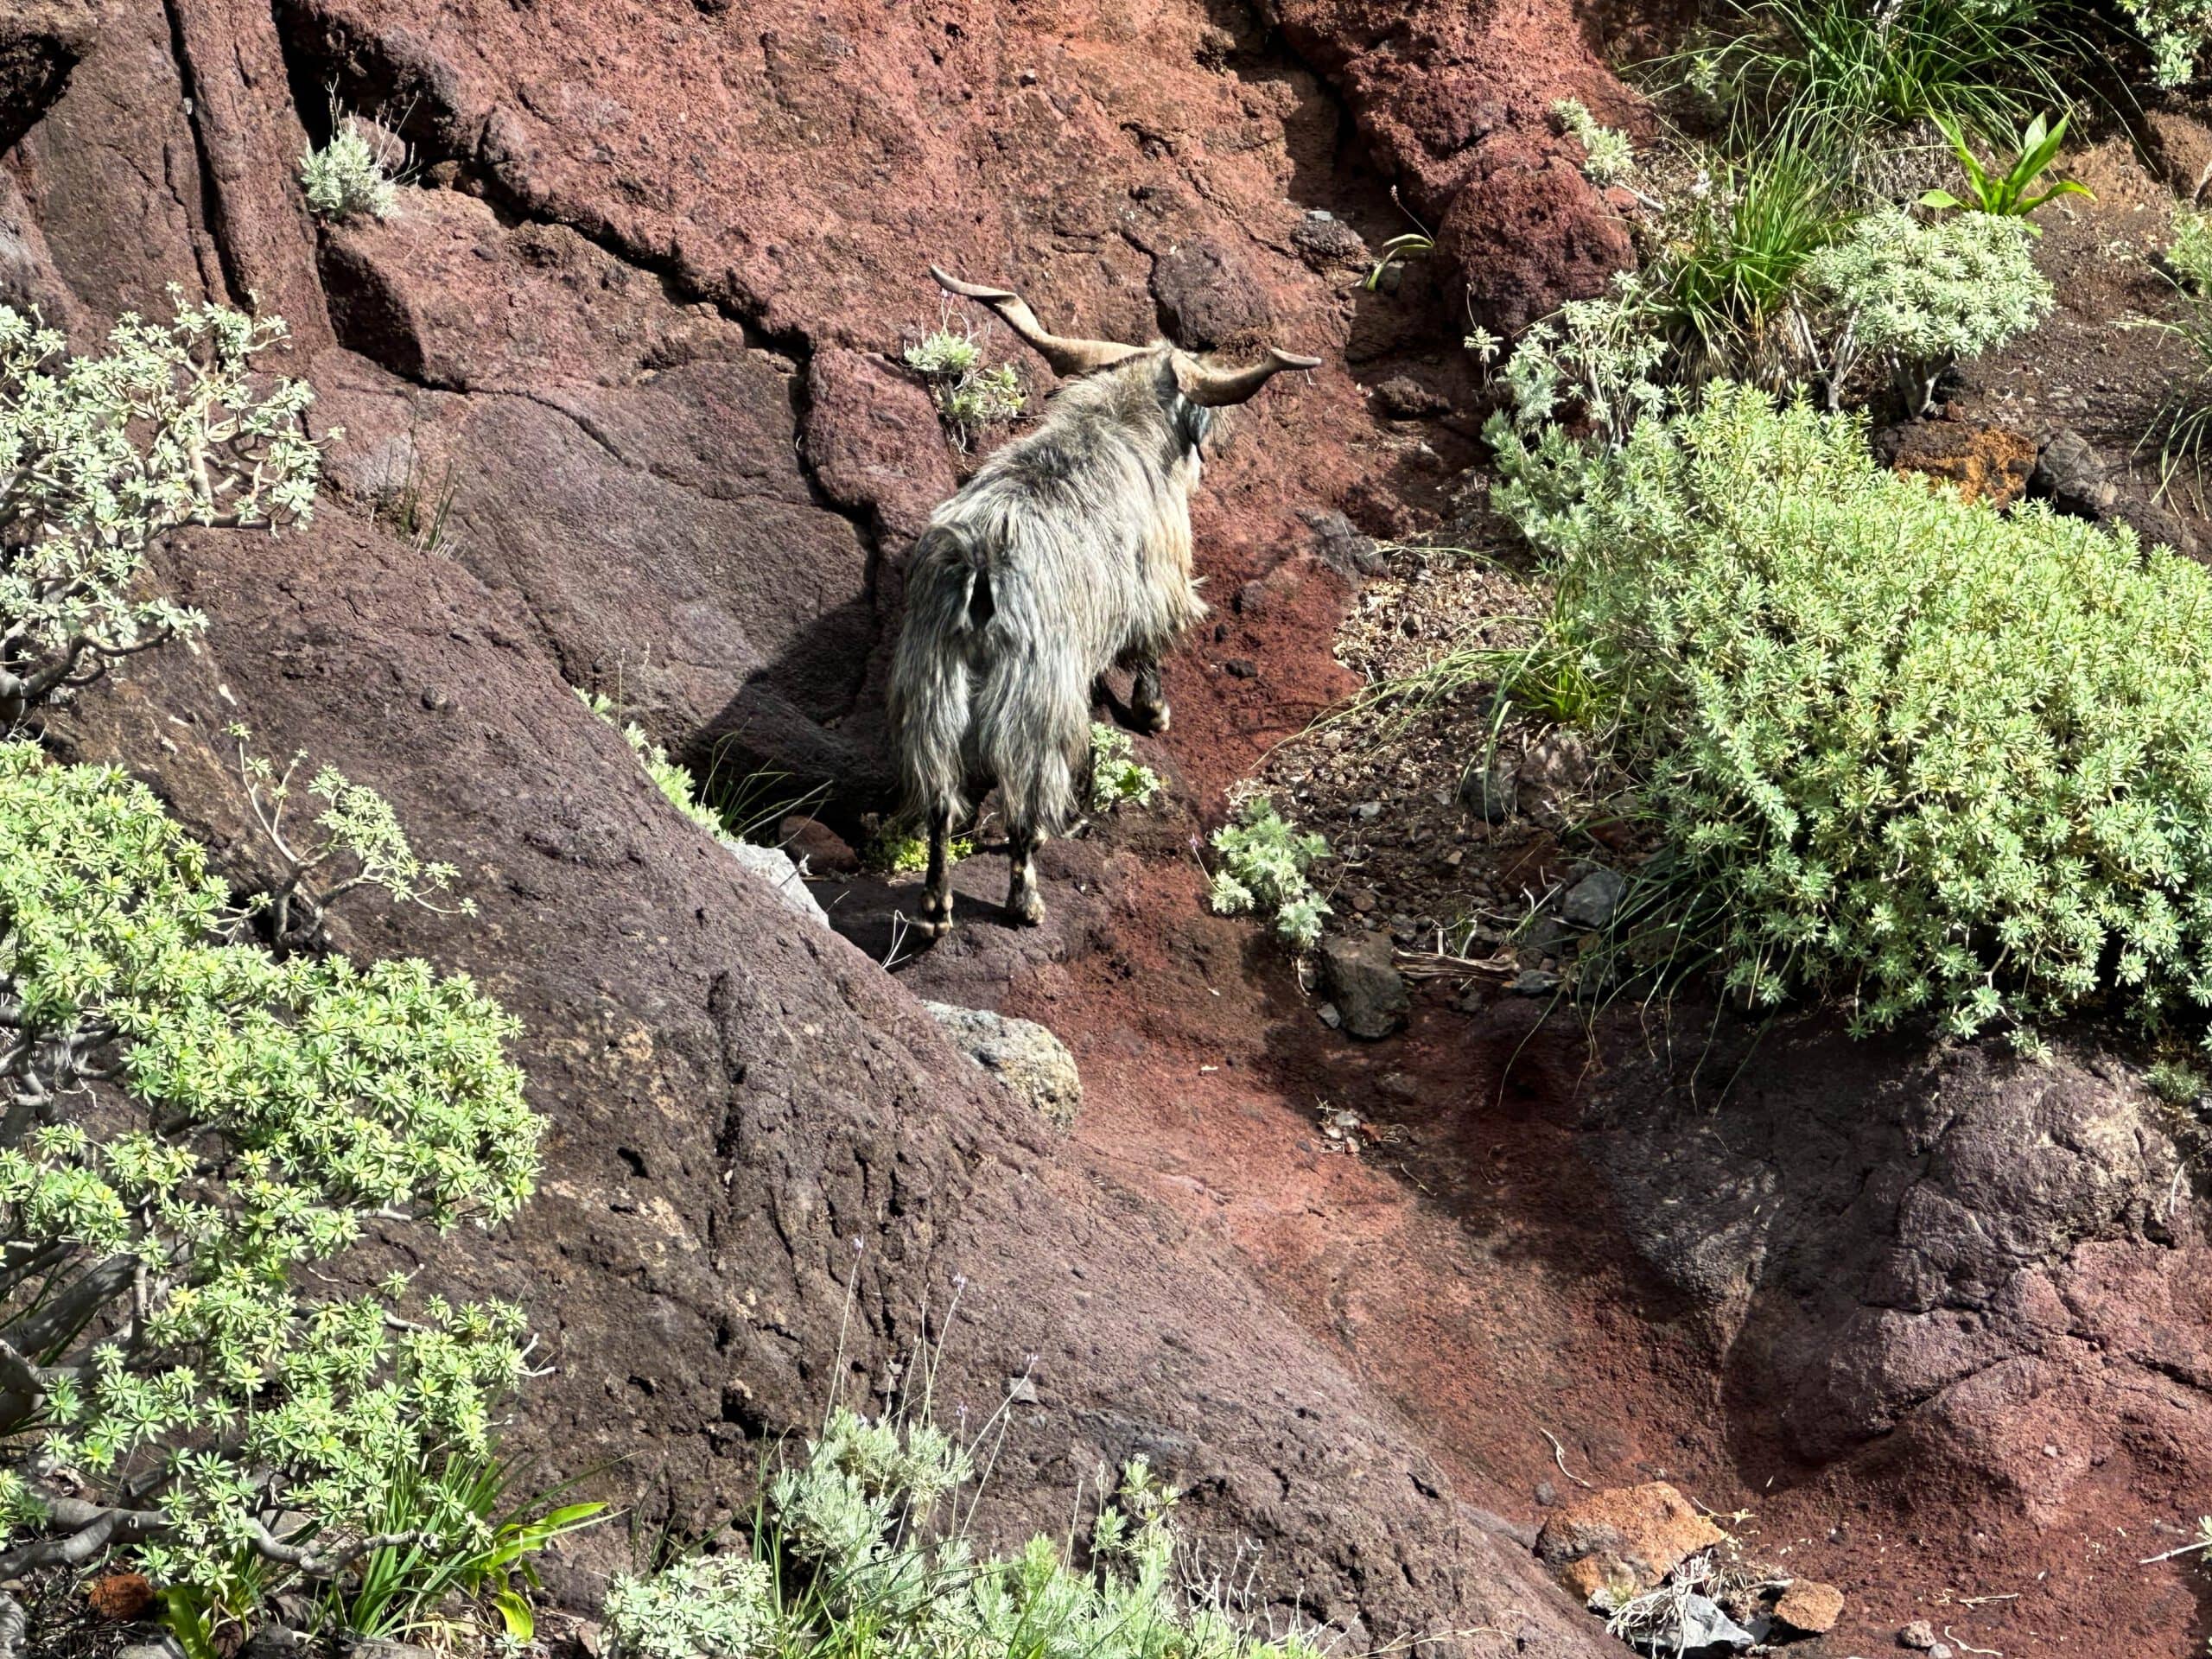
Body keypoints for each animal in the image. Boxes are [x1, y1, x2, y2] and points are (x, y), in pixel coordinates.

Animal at [889, 263, 1318, 938]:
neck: (1116, 425)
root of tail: (982, 567)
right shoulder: (1159, 581)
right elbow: (1150, 650)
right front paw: (1154, 713)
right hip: (1040, 695)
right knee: (1026, 806)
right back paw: (1026, 903)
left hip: (934, 684)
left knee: (940, 800)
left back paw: (936, 910)